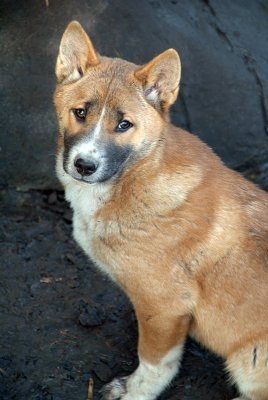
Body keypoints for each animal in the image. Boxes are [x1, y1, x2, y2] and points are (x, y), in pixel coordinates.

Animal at [54, 21, 268, 400]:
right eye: (80, 112)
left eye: (124, 124)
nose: (84, 166)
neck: (135, 179)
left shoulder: (165, 306)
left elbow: (155, 363)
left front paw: (135, 392)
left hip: (250, 358)